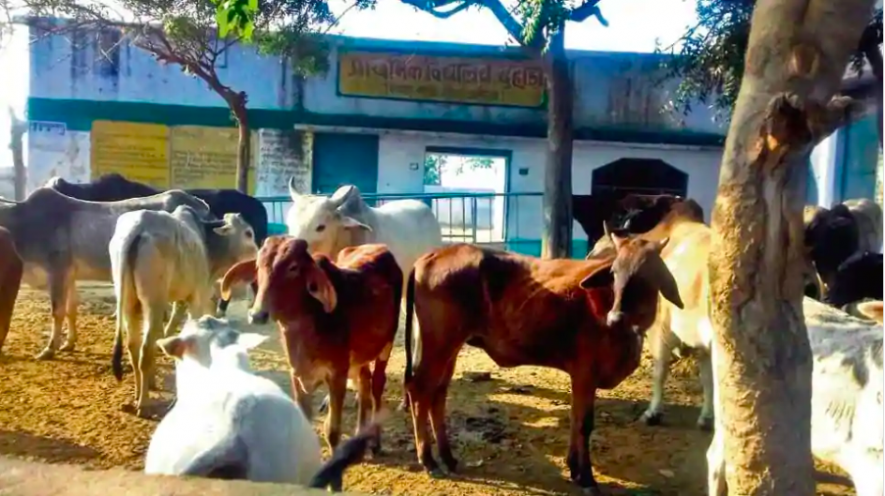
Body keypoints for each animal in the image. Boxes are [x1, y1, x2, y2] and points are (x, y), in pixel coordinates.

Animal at [0, 187, 211, 359]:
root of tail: (199, 204)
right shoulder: (69, 275)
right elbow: (70, 309)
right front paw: (69, 343)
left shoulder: (57, 270)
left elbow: (57, 311)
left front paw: (50, 349)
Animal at [109, 205, 258, 417]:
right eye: (248, 233)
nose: (258, 255)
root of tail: (138, 226)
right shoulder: (195, 297)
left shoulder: (178, 301)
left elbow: (165, 334)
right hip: (153, 303)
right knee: (145, 349)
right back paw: (144, 403)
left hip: (130, 302)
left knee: (133, 347)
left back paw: (138, 393)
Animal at [220, 239, 402, 454]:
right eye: (258, 266)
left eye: (293, 267)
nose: (257, 314)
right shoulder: (297, 375)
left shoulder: (337, 374)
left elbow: (332, 431)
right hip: (361, 356)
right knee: (365, 381)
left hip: (386, 345)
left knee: (377, 386)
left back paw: (375, 441)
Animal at [401, 234, 684, 493]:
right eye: (614, 273)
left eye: (647, 277)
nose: (616, 317)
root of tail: (432, 255)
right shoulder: (585, 373)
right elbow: (584, 424)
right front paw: (586, 477)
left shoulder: (579, 378)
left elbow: (575, 418)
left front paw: (574, 468)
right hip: (438, 345)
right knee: (419, 391)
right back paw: (428, 460)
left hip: (450, 349)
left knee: (437, 395)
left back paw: (447, 457)